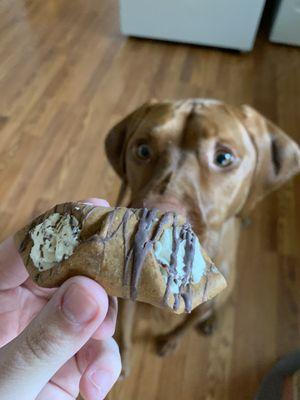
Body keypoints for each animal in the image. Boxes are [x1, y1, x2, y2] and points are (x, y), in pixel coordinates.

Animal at [104, 98, 298, 376]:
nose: (154, 225)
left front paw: (171, 341)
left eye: (223, 158)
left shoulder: (204, 304)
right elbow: (124, 330)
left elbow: (184, 327)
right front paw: (123, 360)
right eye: (142, 150)